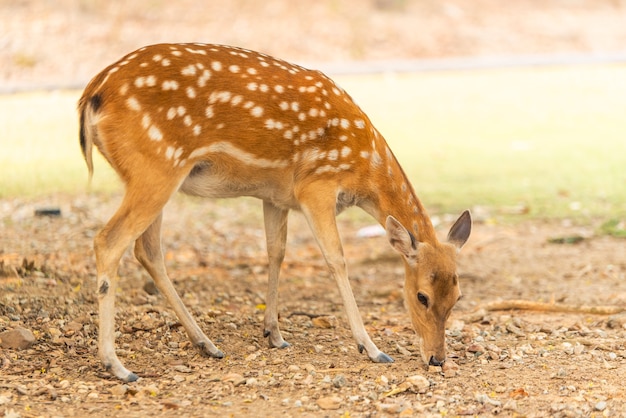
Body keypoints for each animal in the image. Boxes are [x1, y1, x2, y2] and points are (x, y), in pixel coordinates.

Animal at [77, 43, 468, 382]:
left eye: (458, 297)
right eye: (421, 296)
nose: (437, 358)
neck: (364, 166)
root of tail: (91, 94)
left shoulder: (276, 197)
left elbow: (275, 252)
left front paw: (274, 333)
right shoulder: (316, 185)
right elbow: (336, 259)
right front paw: (371, 348)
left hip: (150, 174)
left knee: (147, 250)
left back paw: (206, 344)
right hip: (157, 165)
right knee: (109, 241)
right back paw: (118, 365)